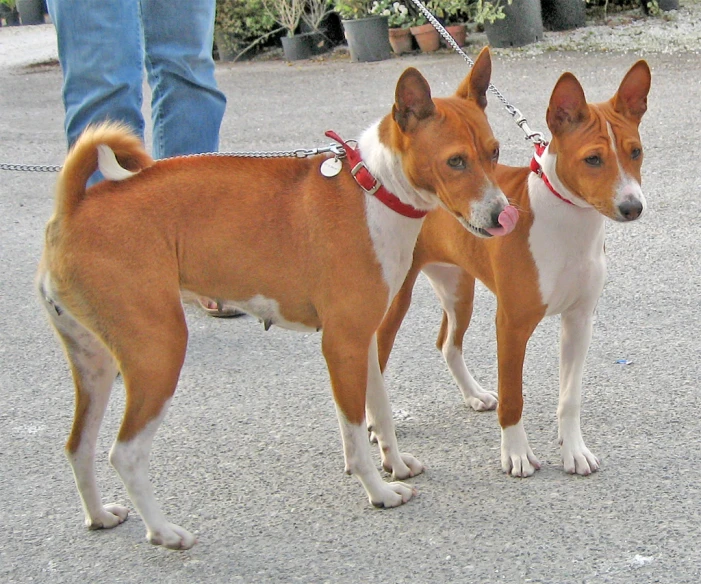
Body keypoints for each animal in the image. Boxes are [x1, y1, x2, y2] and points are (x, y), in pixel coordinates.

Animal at [37, 48, 520, 548]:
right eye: (455, 162)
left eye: (494, 152)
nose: (503, 216)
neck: (374, 190)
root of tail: (75, 208)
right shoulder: (341, 344)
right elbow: (354, 432)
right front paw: (379, 491)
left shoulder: (362, 338)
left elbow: (381, 410)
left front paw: (397, 464)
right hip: (158, 353)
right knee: (124, 454)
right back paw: (165, 532)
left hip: (94, 363)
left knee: (78, 447)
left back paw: (98, 515)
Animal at [378, 59, 652, 480]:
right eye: (593, 159)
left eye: (635, 152)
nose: (632, 207)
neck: (569, 226)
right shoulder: (511, 324)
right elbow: (513, 397)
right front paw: (517, 454)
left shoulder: (579, 320)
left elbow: (569, 398)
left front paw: (574, 452)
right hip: (395, 302)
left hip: (458, 289)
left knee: (447, 343)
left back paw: (474, 395)